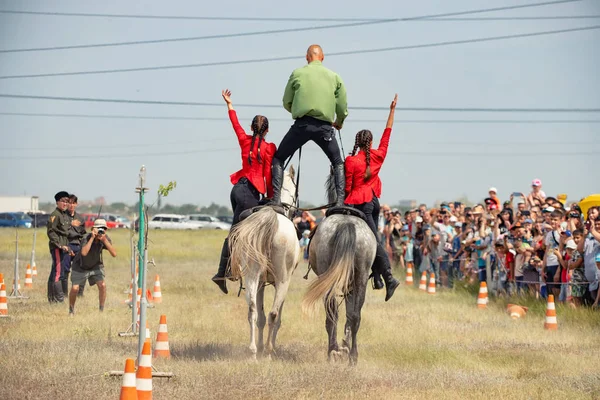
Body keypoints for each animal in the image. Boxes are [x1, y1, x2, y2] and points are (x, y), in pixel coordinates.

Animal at [227, 166, 300, 360]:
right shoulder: (282, 283)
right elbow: (277, 317)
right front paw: (267, 347)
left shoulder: (260, 283)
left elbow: (259, 317)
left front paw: (259, 347)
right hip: (282, 280)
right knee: (273, 314)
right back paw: (268, 351)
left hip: (252, 276)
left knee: (252, 309)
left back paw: (253, 351)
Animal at [302, 173, 378, 366]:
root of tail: (346, 224)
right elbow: (351, 315)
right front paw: (345, 345)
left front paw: (340, 346)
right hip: (360, 278)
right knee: (355, 316)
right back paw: (353, 356)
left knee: (332, 314)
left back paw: (332, 351)